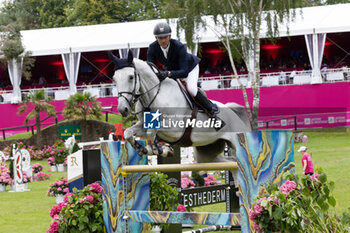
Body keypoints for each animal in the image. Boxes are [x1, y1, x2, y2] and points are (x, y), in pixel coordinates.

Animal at [110, 51, 250, 163]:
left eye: (131, 77)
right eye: (114, 78)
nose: (122, 109)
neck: (154, 96)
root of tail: (233, 112)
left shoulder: (175, 129)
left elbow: (152, 132)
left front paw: (159, 149)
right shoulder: (143, 124)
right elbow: (128, 133)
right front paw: (142, 149)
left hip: (236, 140)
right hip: (207, 151)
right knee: (231, 161)